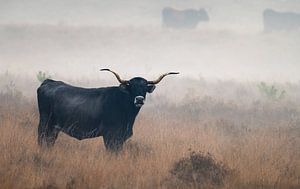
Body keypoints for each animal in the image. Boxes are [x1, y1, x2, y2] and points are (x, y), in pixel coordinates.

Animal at [37, 69, 178, 151]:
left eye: (144, 88)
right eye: (132, 87)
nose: (139, 99)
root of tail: (49, 82)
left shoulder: (121, 137)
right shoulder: (110, 135)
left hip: (53, 128)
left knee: (49, 141)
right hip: (45, 123)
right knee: (41, 139)